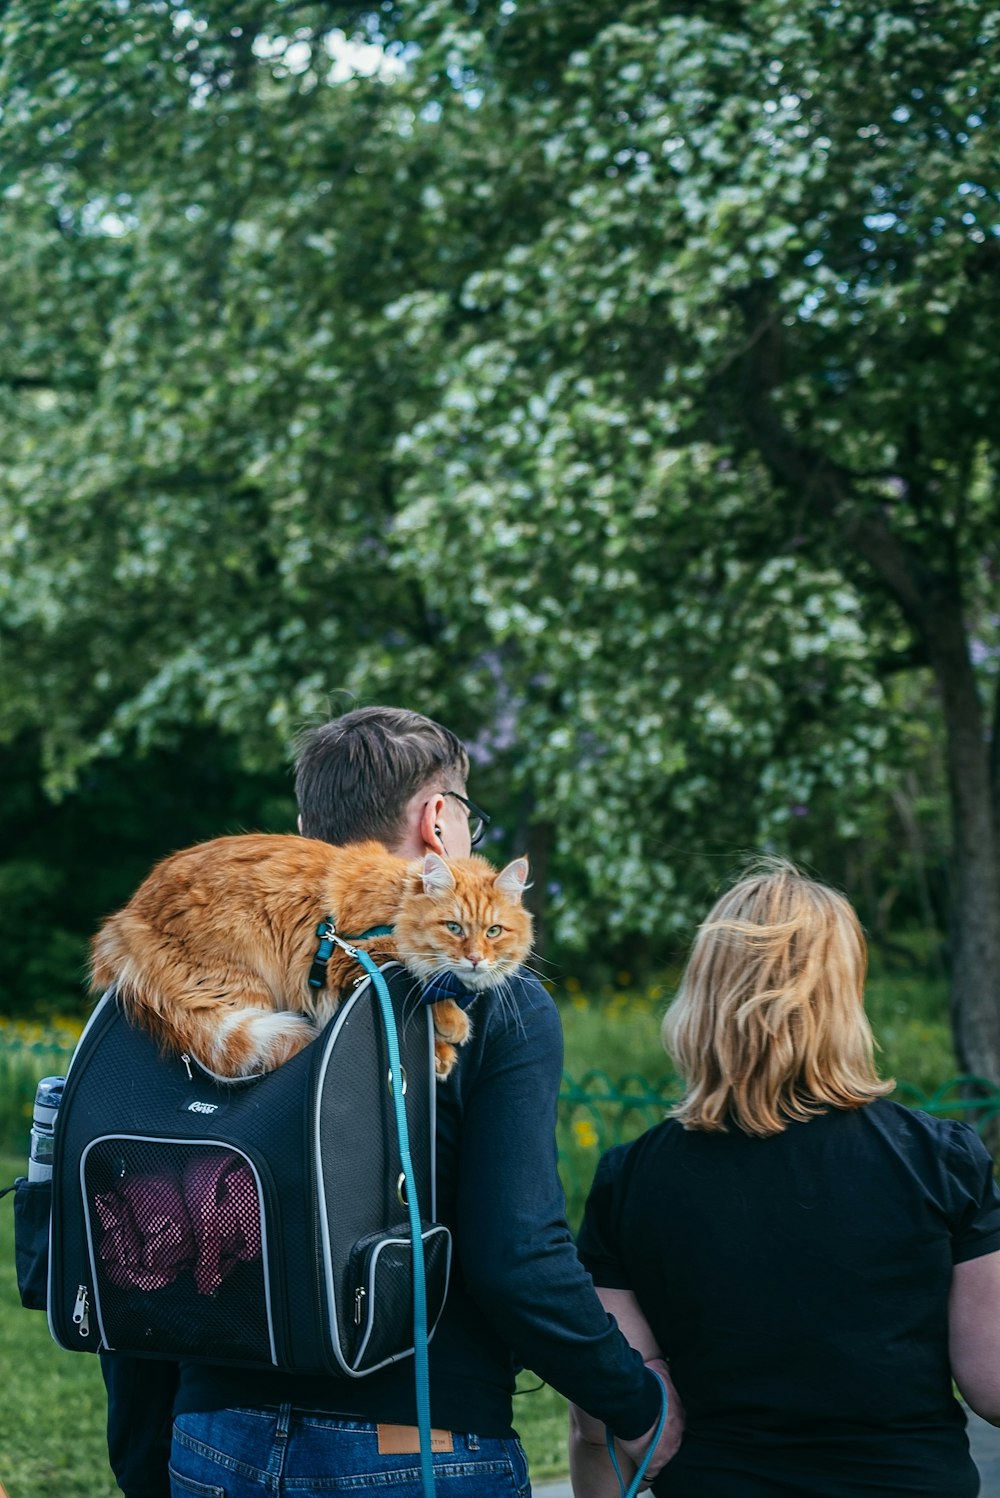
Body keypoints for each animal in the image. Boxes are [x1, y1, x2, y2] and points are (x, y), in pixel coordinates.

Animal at [89, 838, 535, 1084]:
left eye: (493, 932)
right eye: (454, 928)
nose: (475, 959)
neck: (397, 905)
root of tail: (127, 917)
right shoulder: (351, 958)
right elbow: (423, 978)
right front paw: (449, 1029)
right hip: (240, 983)